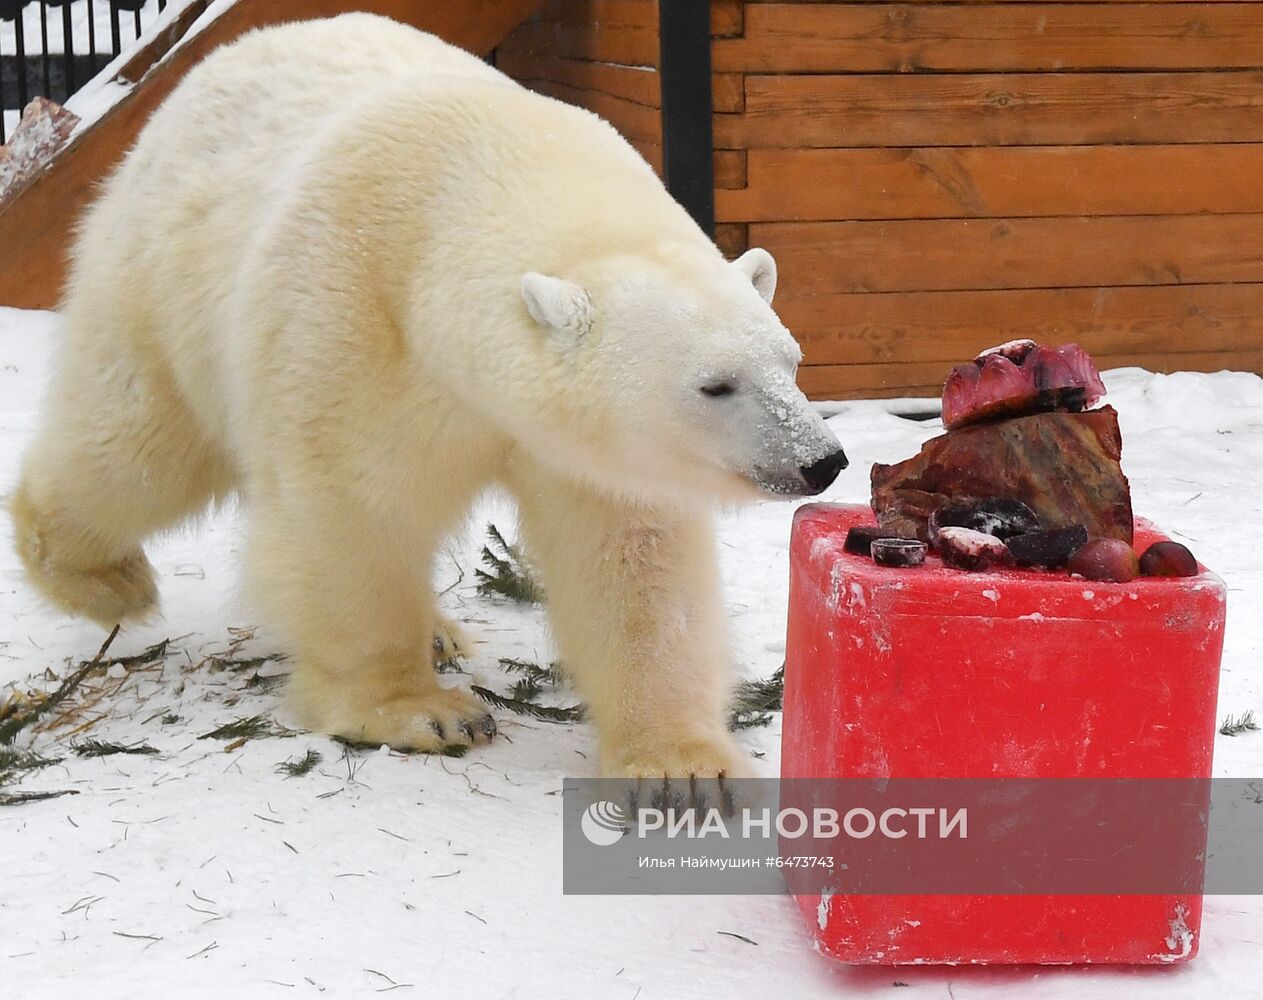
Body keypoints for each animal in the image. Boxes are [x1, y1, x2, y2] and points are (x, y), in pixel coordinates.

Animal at [12, 13, 848, 782]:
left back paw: (440, 629)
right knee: (136, 446)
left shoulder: (587, 447)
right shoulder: (352, 321)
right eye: (715, 384)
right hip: (162, 282)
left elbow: (631, 555)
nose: (822, 460)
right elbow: (352, 513)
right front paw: (422, 713)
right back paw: (106, 579)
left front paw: (682, 764)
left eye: (790, 360)